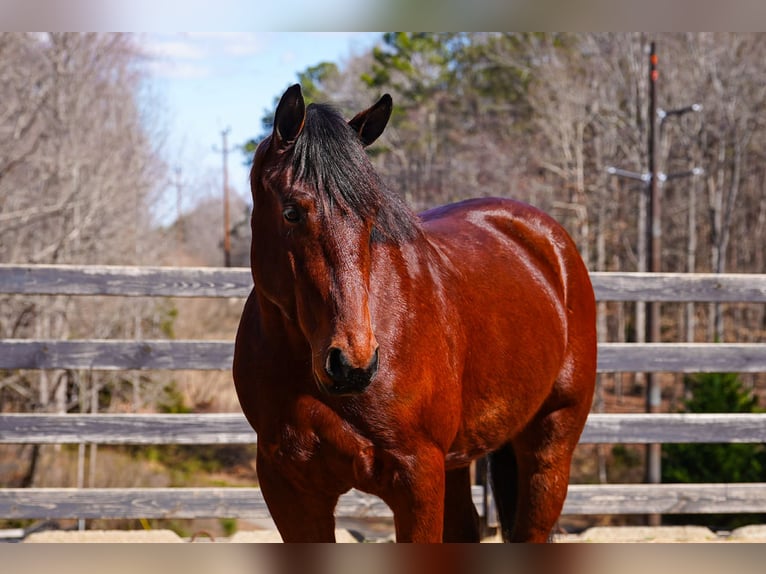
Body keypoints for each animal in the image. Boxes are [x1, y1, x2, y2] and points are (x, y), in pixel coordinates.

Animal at [233, 84, 597, 543]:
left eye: (372, 216)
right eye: (292, 211)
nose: (352, 363)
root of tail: (551, 244)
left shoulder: (417, 477)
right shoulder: (289, 488)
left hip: (550, 444)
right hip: (459, 460)